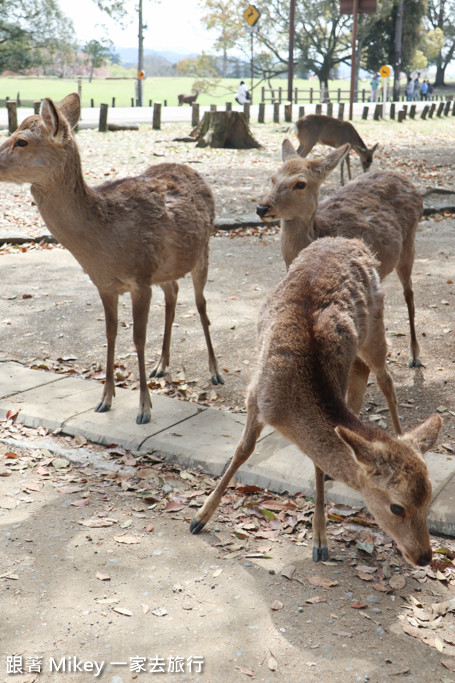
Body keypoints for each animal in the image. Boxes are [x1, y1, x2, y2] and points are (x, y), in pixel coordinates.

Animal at [0, 93, 223, 424]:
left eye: (22, 141)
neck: (104, 245)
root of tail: (195, 172)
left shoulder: (140, 277)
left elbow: (138, 338)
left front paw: (144, 408)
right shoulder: (105, 283)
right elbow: (110, 333)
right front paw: (105, 399)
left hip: (203, 249)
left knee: (201, 305)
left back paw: (215, 371)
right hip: (166, 269)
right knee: (173, 293)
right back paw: (161, 365)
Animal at [191, 238, 444, 568]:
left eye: (429, 499)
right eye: (397, 507)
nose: (425, 556)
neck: (289, 408)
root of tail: (350, 241)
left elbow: (315, 465)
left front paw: (320, 541)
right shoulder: (255, 398)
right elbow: (242, 451)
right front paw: (200, 517)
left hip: (376, 325)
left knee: (386, 379)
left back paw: (402, 432)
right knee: (367, 379)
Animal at [256, 140, 424, 384]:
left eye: (300, 183)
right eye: (273, 178)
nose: (262, 207)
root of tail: (407, 181)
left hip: (409, 244)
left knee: (409, 293)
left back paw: (415, 356)